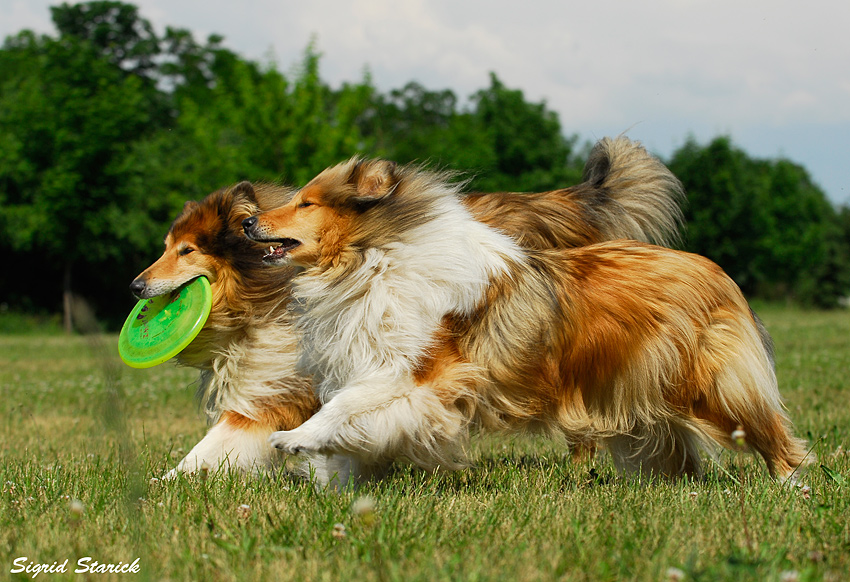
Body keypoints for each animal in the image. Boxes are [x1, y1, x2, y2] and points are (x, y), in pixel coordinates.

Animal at [134, 138, 688, 484]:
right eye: (165, 246)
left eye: (185, 250)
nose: (136, 286)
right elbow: (212, 447)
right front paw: (164, 483)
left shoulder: (295, 386)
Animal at [243, 156, 808, 484]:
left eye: (306, 202)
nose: (248, 222)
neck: (377, 256)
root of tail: (717, 272)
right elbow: (356, 414)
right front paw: (336, 476)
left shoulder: (423, 372)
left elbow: (345, 404)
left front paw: (295, 439)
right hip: (636, 392)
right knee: (674, 451)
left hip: (712, 387)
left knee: (776, 438)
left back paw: (790, 487)